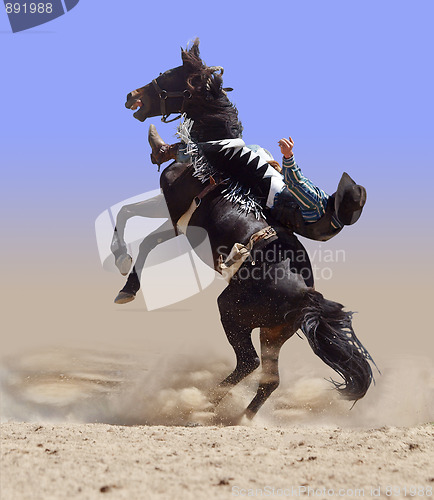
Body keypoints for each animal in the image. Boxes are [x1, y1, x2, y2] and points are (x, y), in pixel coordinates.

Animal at [120, 39, 374, 418]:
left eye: (168, 75)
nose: (131, 94)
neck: (211, 159)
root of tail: (305, 294)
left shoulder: (175, 214)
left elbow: (141, 237)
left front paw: (126, 285)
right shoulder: (177, 220)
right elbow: (127, 217)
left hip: (233, 313)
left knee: (248, 364)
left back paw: (203, 403)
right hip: (273, 333)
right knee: (269, 379)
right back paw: (238, 417)